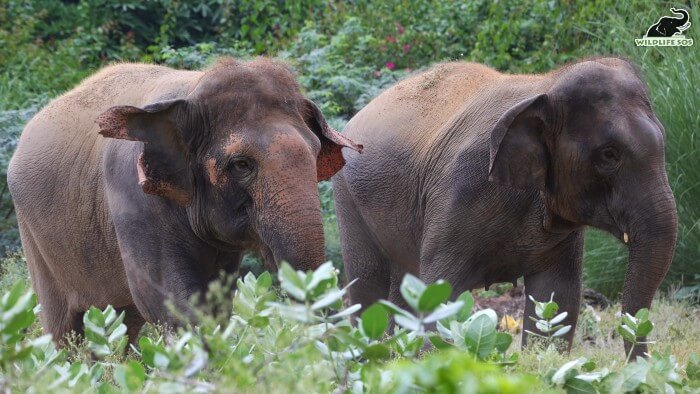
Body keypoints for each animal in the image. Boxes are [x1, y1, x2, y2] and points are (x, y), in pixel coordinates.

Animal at [6, 57, 360, 344]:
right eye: (241, 164)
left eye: (316, 153)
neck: (193, 90)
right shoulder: (133, 196)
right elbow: (166, 301)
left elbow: (213, 303)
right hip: (35, 240)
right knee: (64, 327)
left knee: (123, 320)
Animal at [334, 58, 680, 358]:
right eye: (609, 154)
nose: (640, 362)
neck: (545, 85)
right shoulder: (458, 193)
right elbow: (441, 293)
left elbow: (558, 296)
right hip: (347, 196)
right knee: (368, 284)